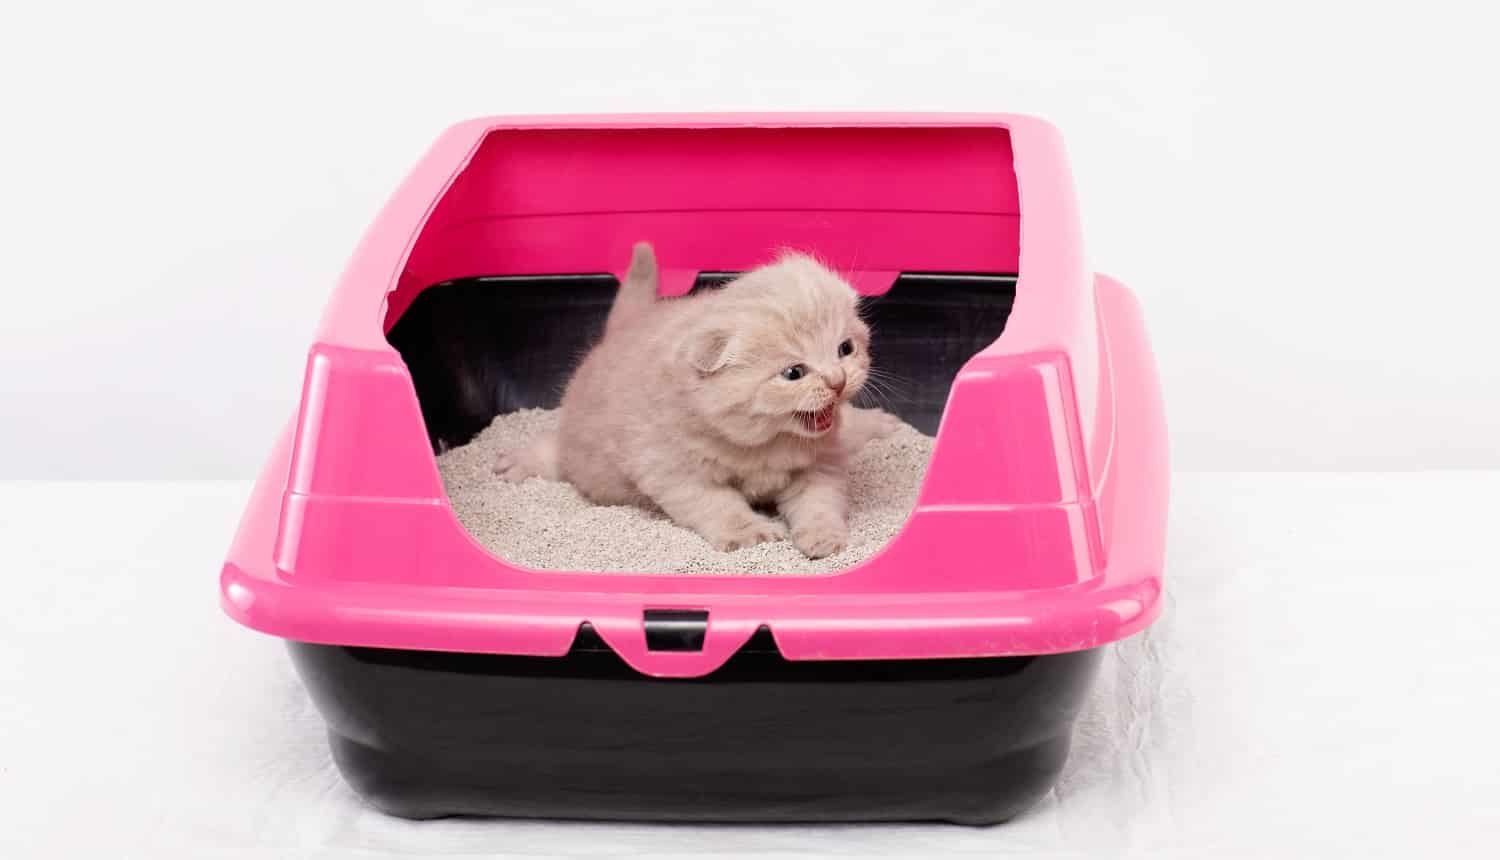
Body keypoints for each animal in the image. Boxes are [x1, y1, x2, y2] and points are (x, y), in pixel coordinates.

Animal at [492, 241, 894, 555]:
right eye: (793, 373)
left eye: (845, 348)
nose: (838, 381)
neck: (765, 444)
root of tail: (621, 332)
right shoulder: (676, 472)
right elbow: (720, 506)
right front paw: (751, 533)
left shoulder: (820, 465)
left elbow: (819, 504)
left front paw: (824, 538)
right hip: (580, 457)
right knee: (555, 454)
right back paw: (516, 463)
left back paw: (883, 423)